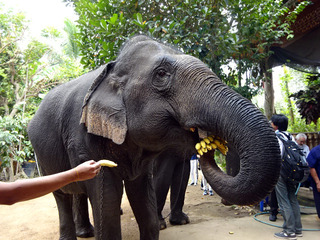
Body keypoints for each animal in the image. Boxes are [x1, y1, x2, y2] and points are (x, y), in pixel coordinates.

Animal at [28, 34, 282, 239]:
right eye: (161, 74)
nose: (207, 147)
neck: (111, 70)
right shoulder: (84, 139)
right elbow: (107, 200)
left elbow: (144, 198)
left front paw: (165, 223)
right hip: (42, 156)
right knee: (62, 196)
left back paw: (86, 232)